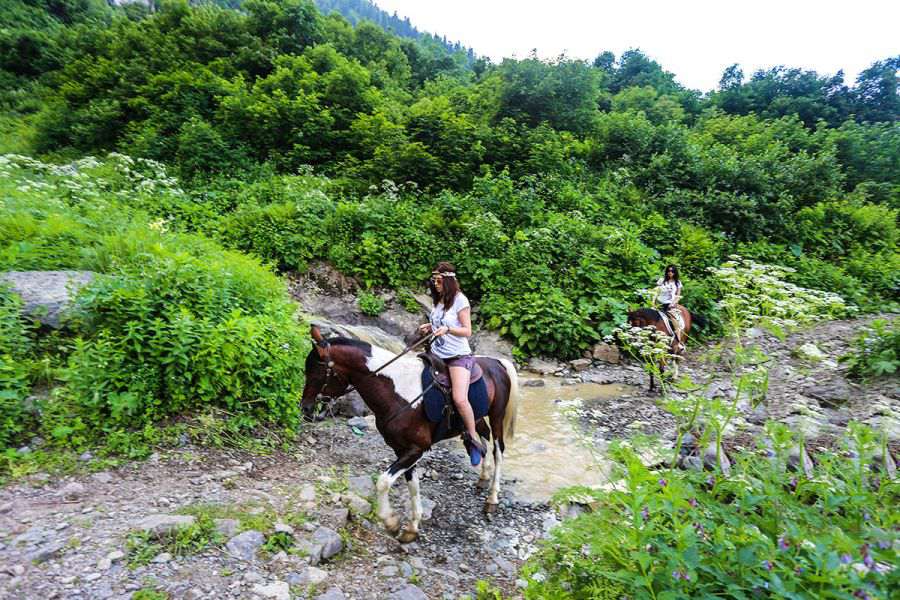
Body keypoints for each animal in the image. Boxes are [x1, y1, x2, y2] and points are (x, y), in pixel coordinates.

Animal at [300, 326, 516, 540]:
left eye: (316, 373)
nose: (306, 409)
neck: (396, 392)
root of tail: (497, 362)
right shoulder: (402, 449)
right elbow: (413, 486)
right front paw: (412, 527)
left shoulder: (417, 449)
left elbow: (383, 482)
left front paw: (391, 522)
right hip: (477, 416)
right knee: (483, 435)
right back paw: (483, 476)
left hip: (497, 415)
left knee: (498, 450)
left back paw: (492, 499)